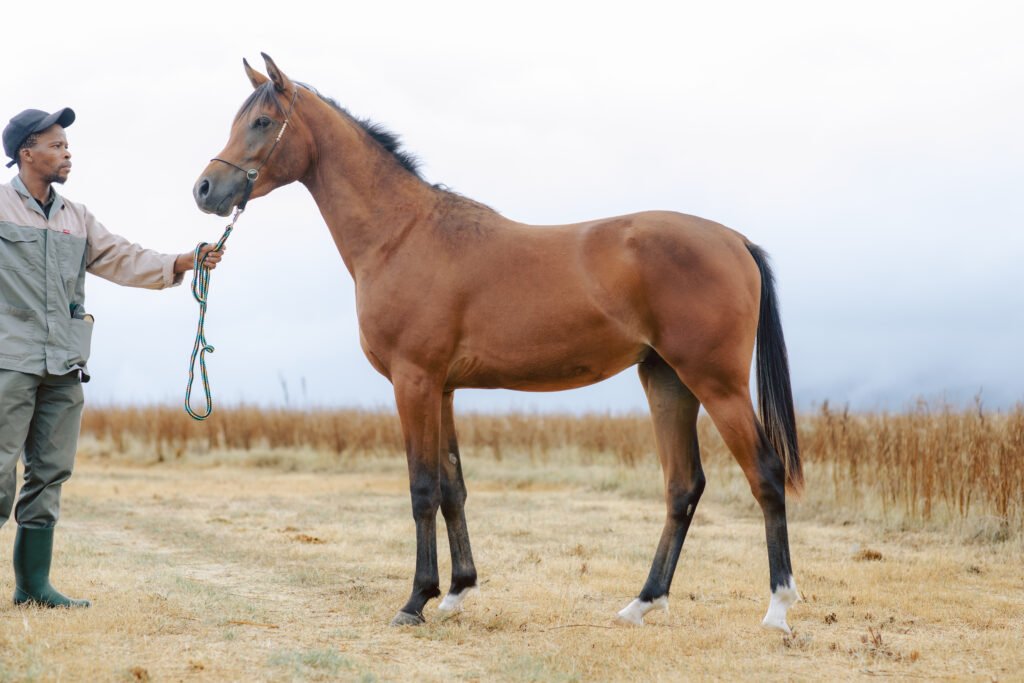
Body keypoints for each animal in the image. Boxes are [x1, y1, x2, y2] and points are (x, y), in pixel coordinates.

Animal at [190, 54, 798, 634]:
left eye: (262, 122)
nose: (204, 190)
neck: (401, 235)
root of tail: (735, 240)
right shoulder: (443, 388)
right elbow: (452, 488)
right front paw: (457, 591)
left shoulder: (414, 381)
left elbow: (422, 489)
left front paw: (415, 601)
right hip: (667, 380)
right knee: (682, 487)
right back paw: (642, 604)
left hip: (715, 383)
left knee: (765, 476)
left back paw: (778, 608)